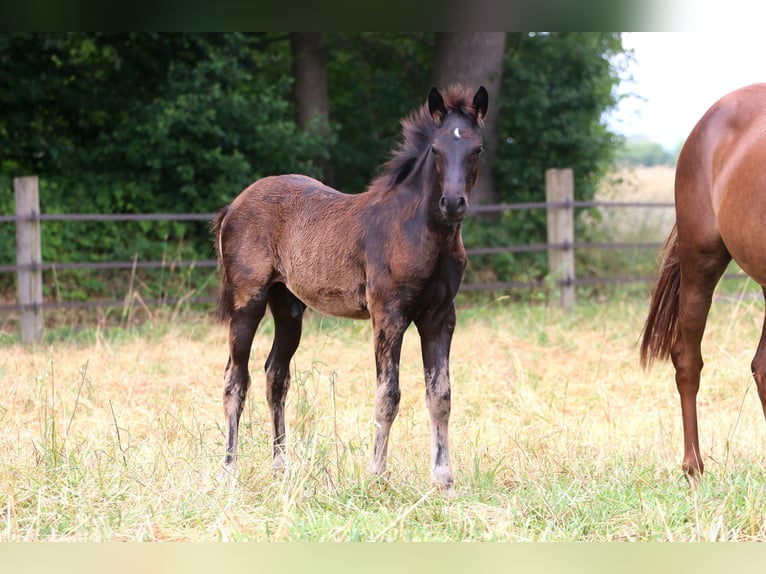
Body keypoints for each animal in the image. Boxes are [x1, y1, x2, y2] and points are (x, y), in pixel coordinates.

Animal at [211, 85, 488, 490]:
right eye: (436, 149)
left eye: (477, 148)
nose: (453, 203)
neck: (420, 231)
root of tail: (233, 205)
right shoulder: (388, 313)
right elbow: (388, 394)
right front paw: (376, 474)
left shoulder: (440, 316)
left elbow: (441, 395)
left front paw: (443, 479)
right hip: (248, 300)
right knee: (236, 377)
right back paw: (230, 468)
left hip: (288, 305)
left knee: (276, 375)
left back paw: (280, 467)